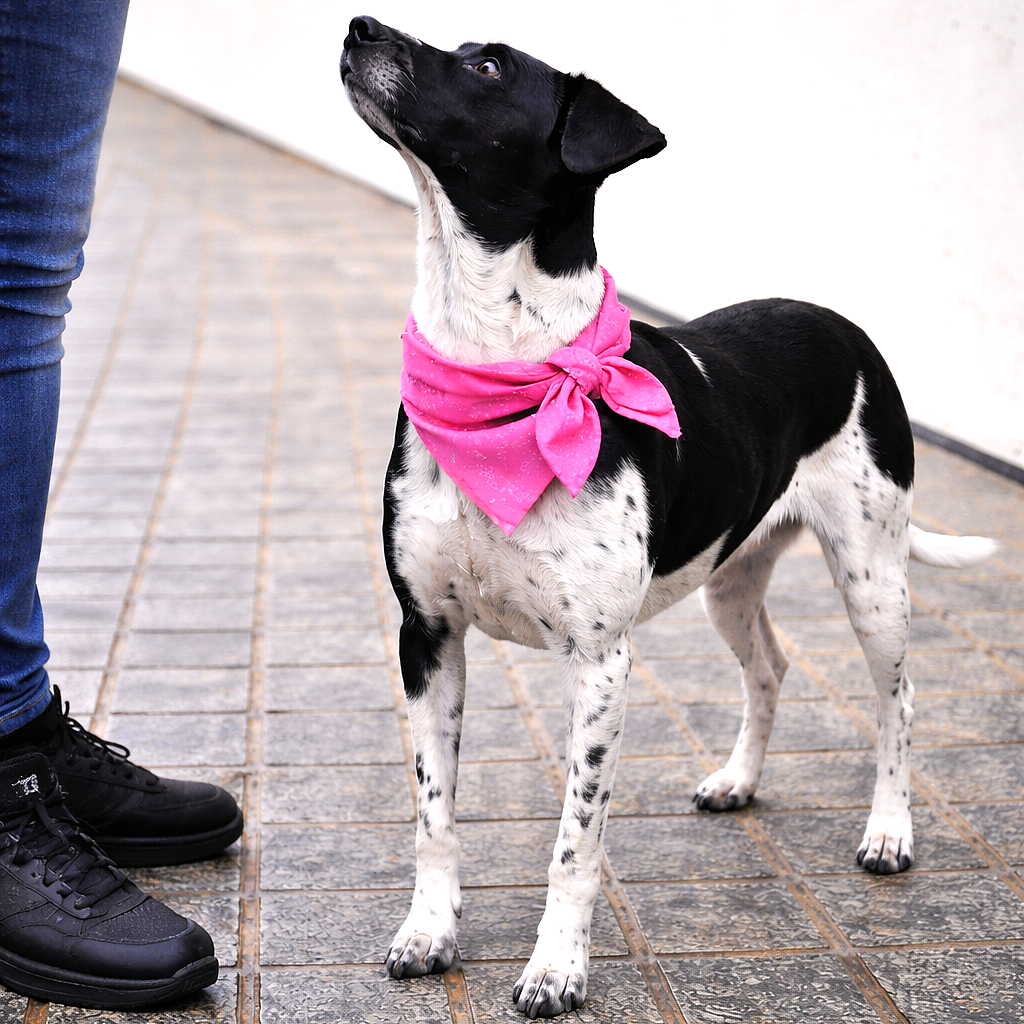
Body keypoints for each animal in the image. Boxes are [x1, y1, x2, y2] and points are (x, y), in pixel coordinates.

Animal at [340, 16, 996, 1018]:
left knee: (899, 698)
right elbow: (433, 816)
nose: (359, 25)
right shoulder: (428, 637)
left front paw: (556, 969)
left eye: (487, 65)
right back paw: (738, 780)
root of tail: (843, 325)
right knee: (769, 666)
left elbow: (575, 845)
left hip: (873, 576)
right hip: (729, 577)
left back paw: (890, 832)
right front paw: (429, 933)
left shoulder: (599, 661)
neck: (503, 373)